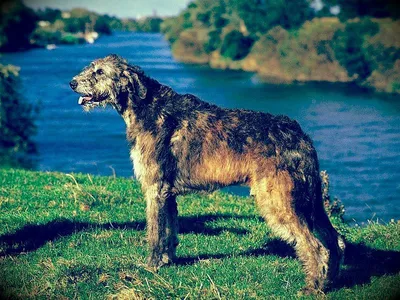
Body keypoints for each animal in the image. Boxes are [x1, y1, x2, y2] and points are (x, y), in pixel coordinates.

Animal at [69, 54, 344, 296]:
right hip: (308, 199)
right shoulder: (167, 193)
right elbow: (170, 229)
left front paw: (151, 266)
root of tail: (300, 135)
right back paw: (330, 282)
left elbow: (155, 232)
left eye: (99, 72)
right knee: (334, 239)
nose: (72, 83)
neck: (145, 105)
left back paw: (313, 287)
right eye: (91, 67)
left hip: (278, 200)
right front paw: (168, 260)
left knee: (316, 246)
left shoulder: (155, 189)